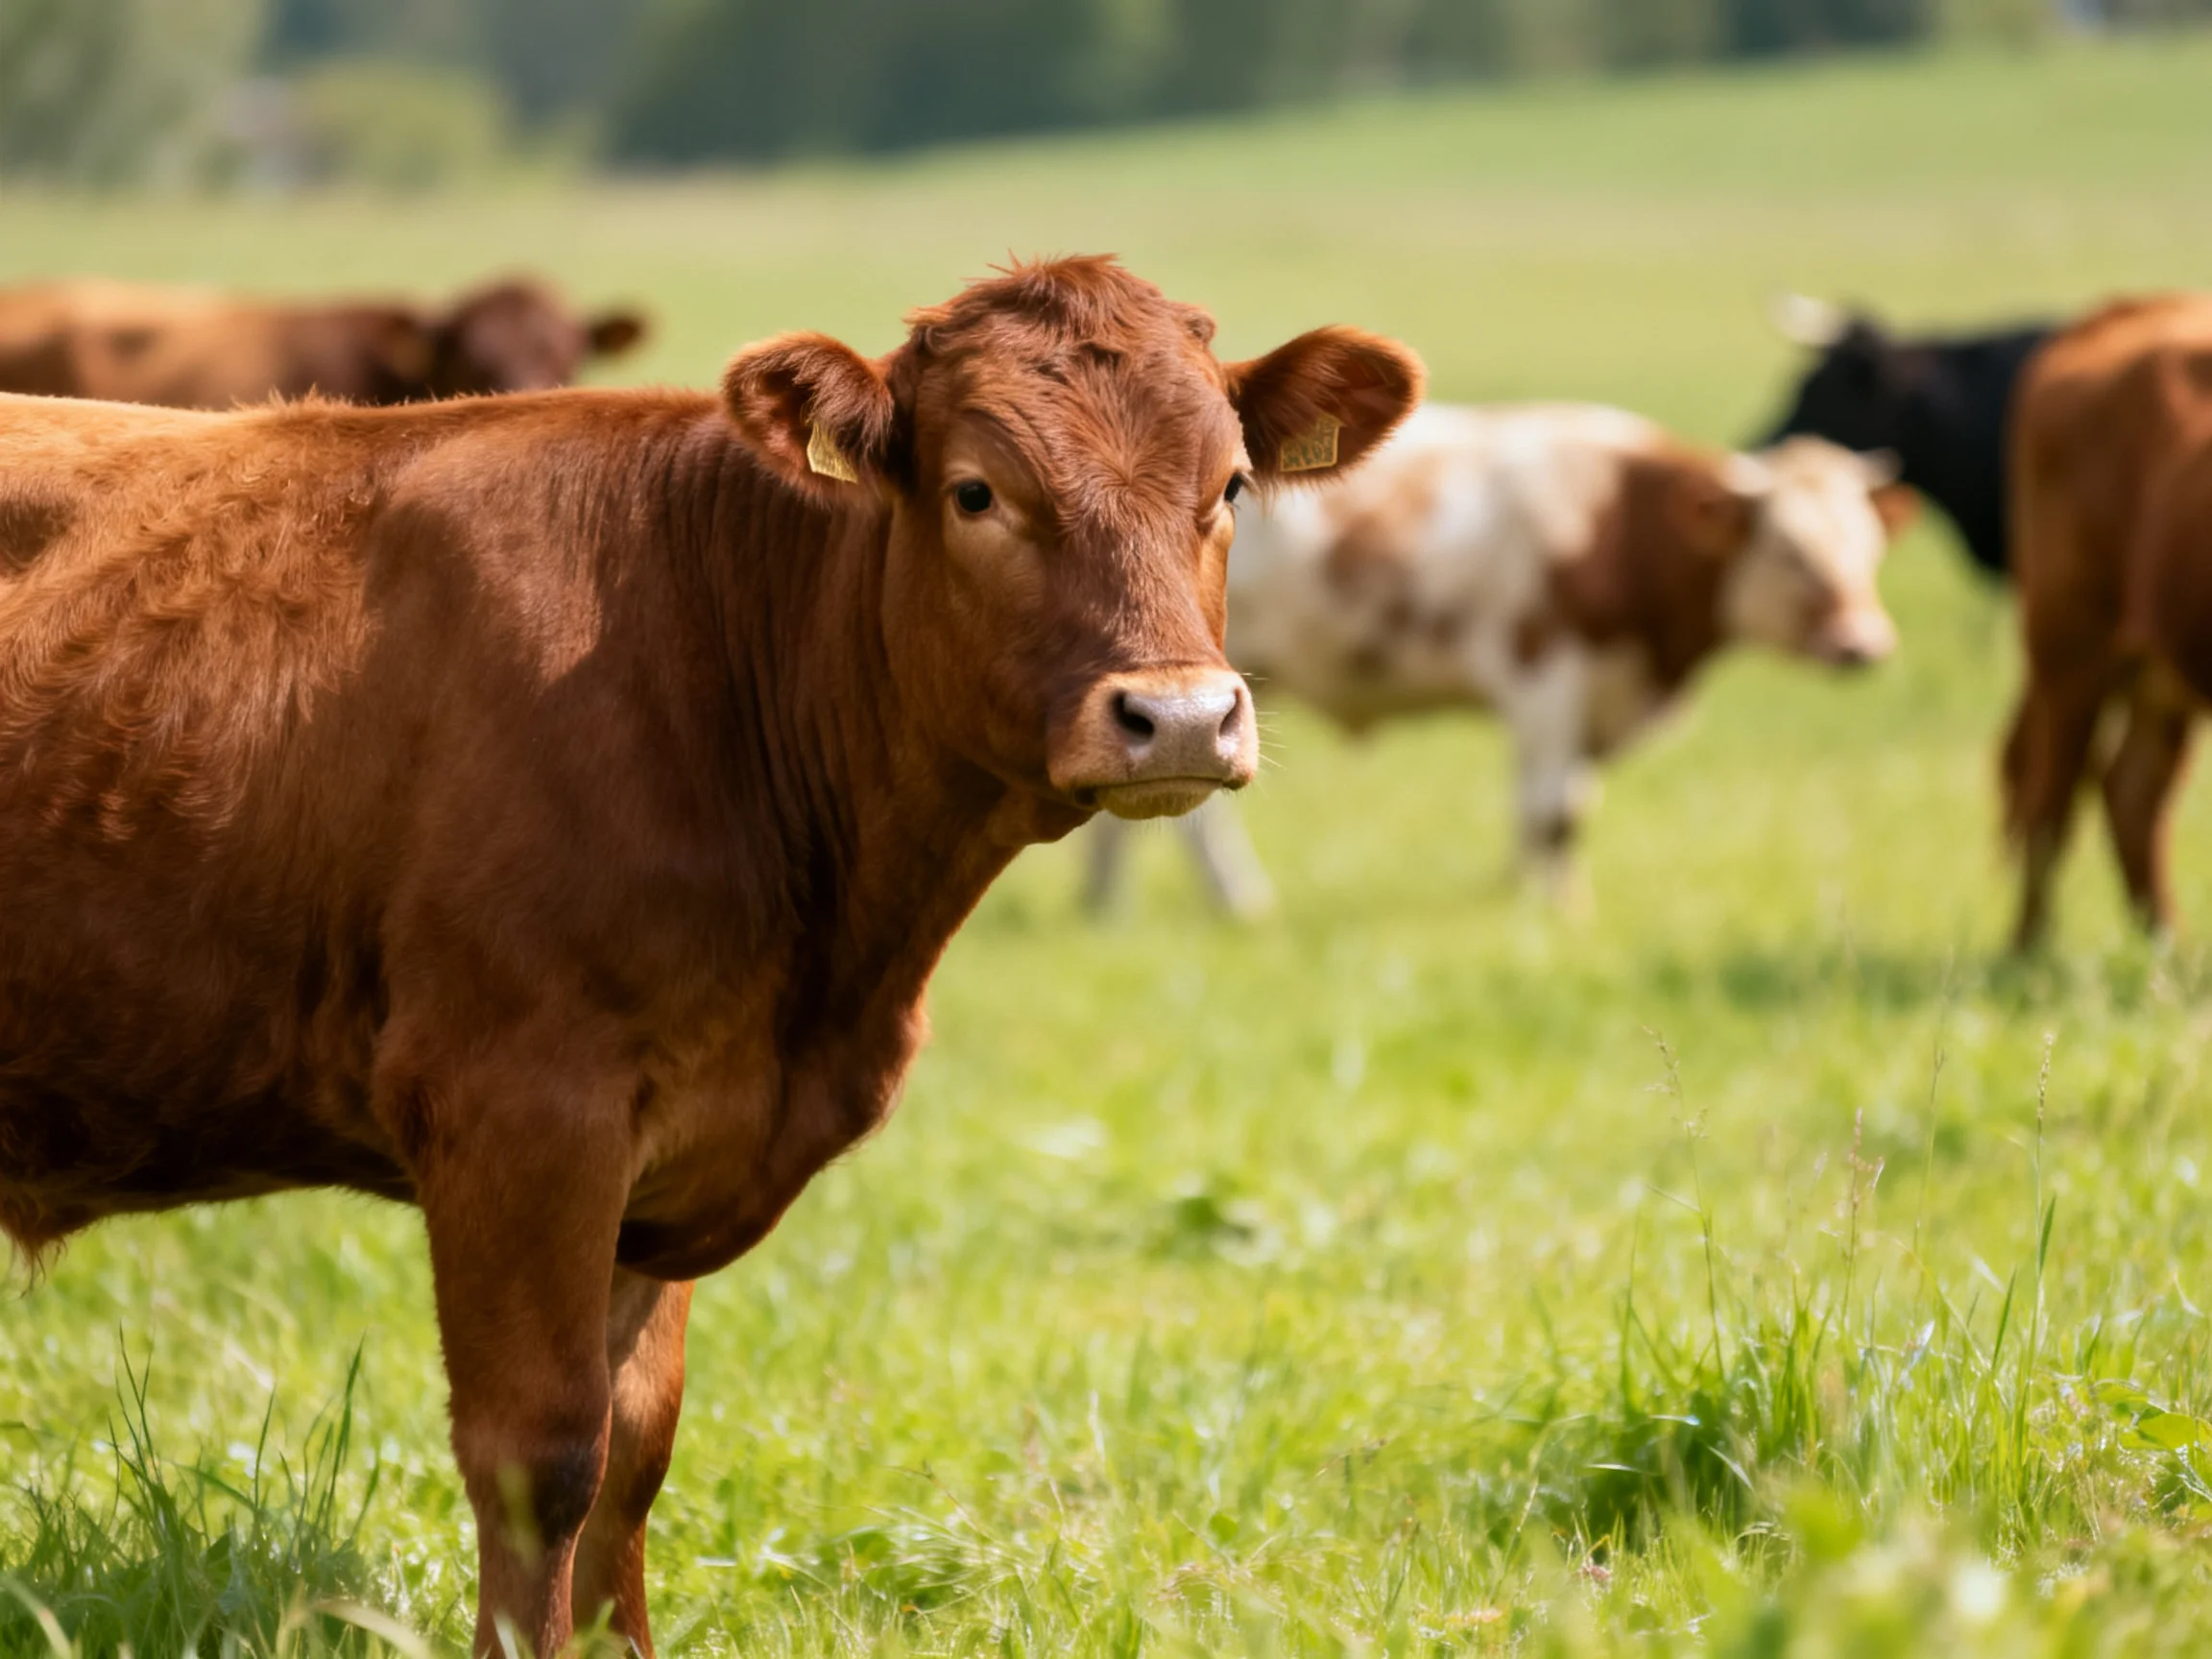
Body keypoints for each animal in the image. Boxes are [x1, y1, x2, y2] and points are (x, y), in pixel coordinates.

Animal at [0, 256, 1423, 1655]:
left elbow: (634, 1452)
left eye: (1229, 486)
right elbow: (541, 1456)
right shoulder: (519, 1111)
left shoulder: (667, 1148)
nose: (1178, 716)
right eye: (977, 490)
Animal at [1086, 405, 1911, 912]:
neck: (1614, 516)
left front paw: (1527, 892)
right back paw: (1241, 906)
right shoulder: (1545, 676)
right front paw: (1556, 910)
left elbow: (1558, 806)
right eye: (1791, 552)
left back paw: (1105, 910)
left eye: (1868, 549)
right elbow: (1553, 811)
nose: (1863, 644)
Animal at [2003, 293, 2212, 949]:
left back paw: (2168, 946)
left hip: (2158, 670)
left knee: (2133, 794)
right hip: (2069, 645)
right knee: (2050, 803)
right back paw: (2028, 953)